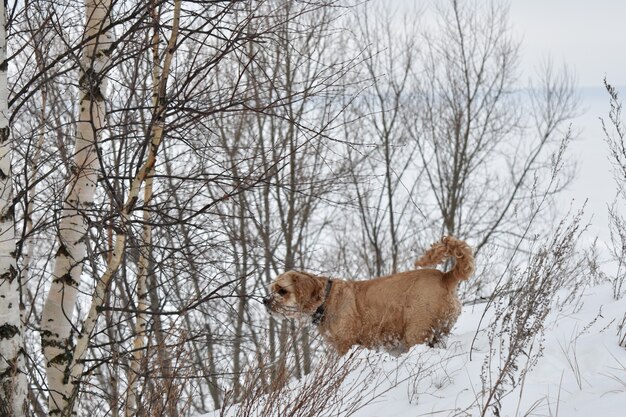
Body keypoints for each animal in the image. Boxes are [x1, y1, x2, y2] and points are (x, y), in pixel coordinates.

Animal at [262, 237, 472, 354]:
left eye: (281, 290)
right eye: (271, 288)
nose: (264, 300)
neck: (326, 300)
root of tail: (445, 277)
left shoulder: (344, 344)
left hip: (417, 330)